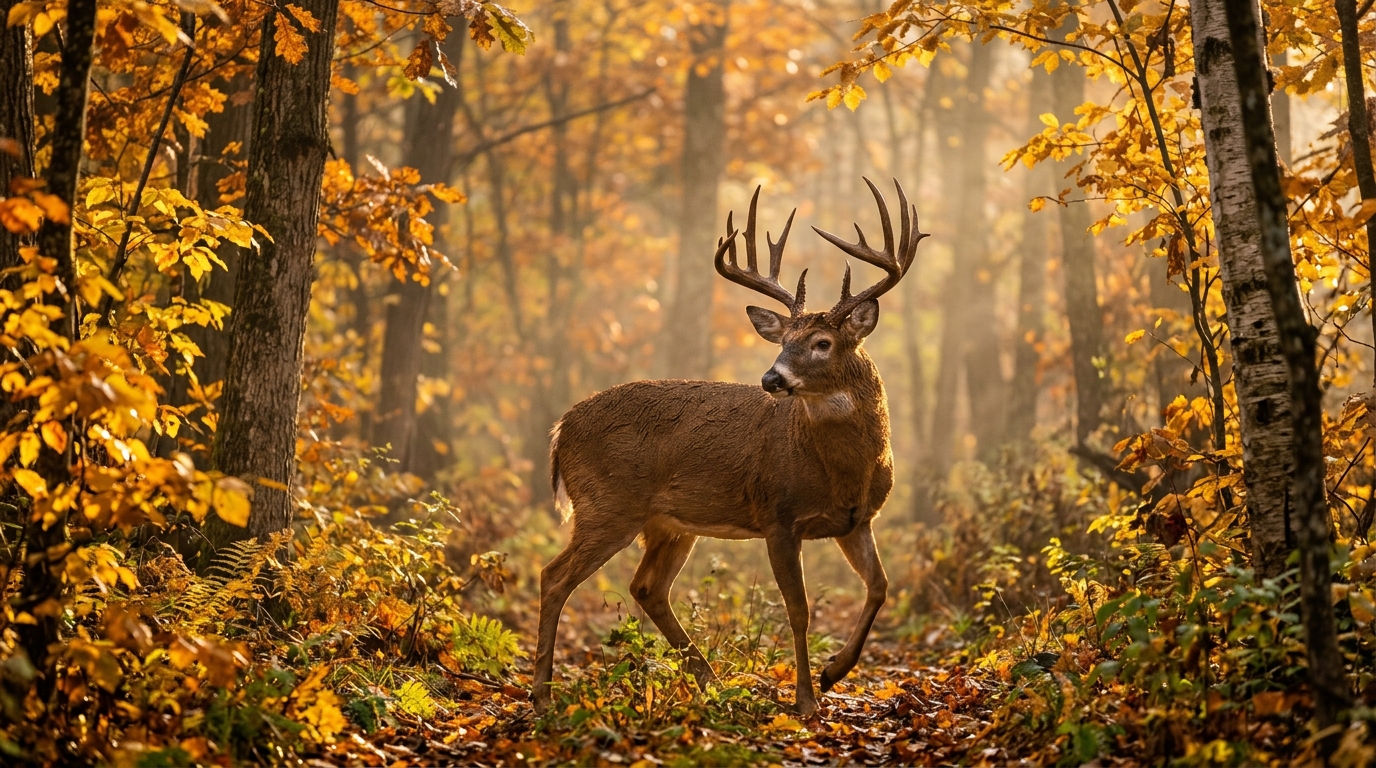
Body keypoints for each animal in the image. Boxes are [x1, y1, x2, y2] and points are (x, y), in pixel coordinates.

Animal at [532, 178, 924, 716]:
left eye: (822, 342)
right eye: (782, 340)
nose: (771, 379)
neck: (840, 470)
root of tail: (560, 429)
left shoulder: (856, 520)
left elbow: (880, 587)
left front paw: (833, 673)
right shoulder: (777, 514)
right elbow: (798, 610)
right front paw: (806, 699)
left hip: (668, 523)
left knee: (647, 588)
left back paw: (712, 684)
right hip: (607, 504)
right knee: (554, 576)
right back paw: (541, 695)